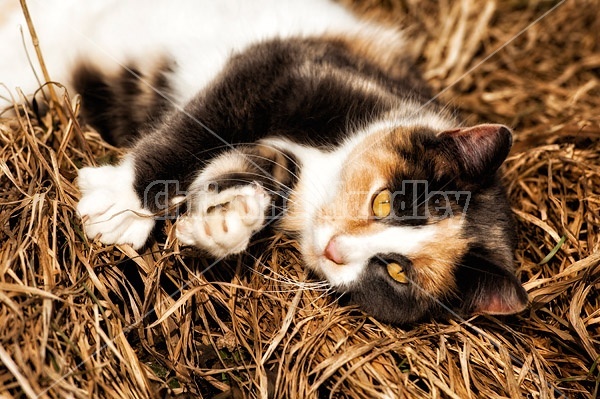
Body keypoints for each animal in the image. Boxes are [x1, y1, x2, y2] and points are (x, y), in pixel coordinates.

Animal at [0, 0, 528, 324]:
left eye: (397, 273)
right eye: (385, 203)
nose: (336, 250)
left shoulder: (282, 156)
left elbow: (250, 166)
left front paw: (225, 223)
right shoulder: (285, 69)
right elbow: (199, 126)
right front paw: (121, 203)